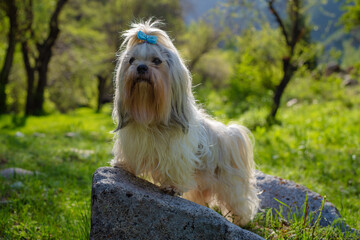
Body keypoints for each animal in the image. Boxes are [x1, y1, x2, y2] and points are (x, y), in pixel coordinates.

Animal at [111, 19, 260, 226]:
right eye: (131, 60)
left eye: (156, 61)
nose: (141, 67)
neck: (150, 114)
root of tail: (229, 133)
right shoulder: (134, 140)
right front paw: (123, 166)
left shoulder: (176, 152)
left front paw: (172, 187)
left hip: (231, 184)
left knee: (239, 201)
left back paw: (240, 220)